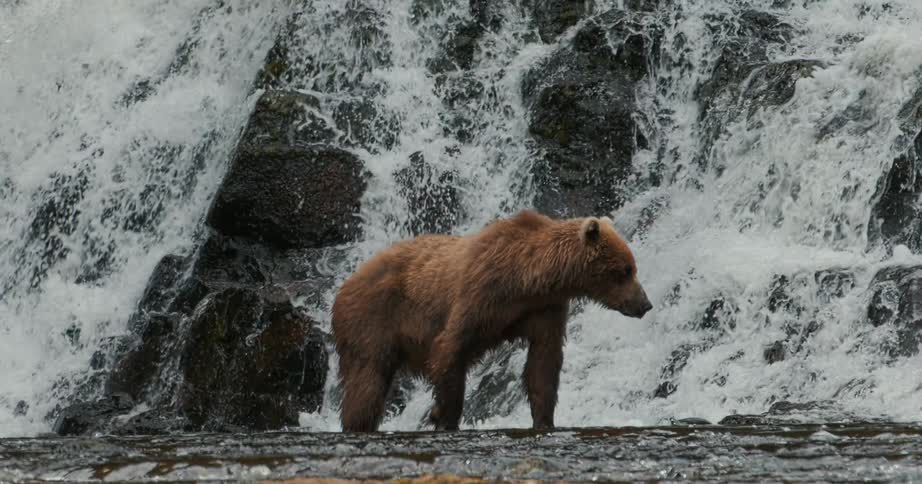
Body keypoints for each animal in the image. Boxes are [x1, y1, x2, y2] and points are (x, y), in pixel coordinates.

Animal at [331, 209, 652, 432]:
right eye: (625, 270)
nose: (645, 304)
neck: (527, 277)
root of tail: (347, 282)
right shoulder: (481, 292)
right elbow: (450, 348)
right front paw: (443, 416)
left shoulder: (544, 309)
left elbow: (544, 363)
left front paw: (544, 419)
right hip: (371, 321)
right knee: (367, 381)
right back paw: (358, 424)